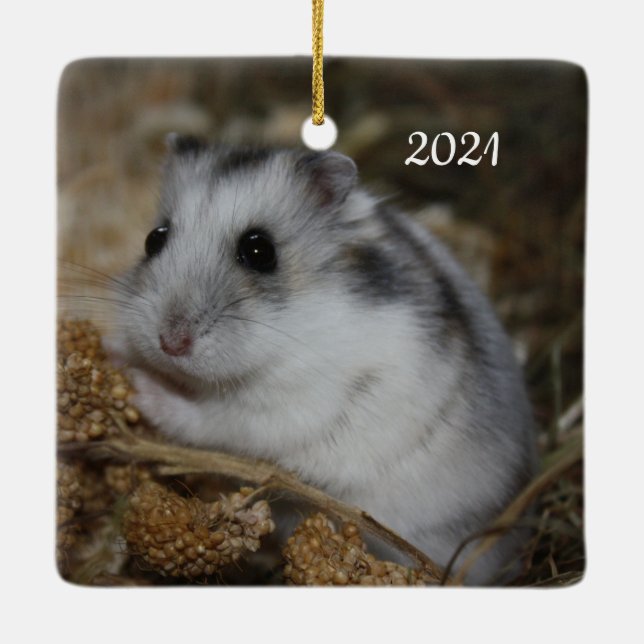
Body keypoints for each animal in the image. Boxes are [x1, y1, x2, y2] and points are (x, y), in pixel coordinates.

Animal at [109, 135, 537, 584]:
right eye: (153, 239)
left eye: (260, 250)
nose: (170, 343)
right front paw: (116, 352)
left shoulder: (281, 410)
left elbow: (203, 418)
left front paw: (139, 384)